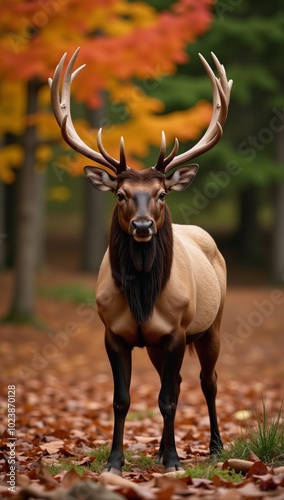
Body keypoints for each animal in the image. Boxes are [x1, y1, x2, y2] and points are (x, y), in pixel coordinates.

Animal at [49, 48, 233, 474]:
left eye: (162, 193)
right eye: (121, 194)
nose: (143, 225)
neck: (142, 299)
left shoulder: (177, 330)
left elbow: (167, 399)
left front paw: (174, 462)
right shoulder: (114, 333)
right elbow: (122, 399)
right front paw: (115, 462)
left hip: (212, 323)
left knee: (208, 380)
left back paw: (214, 447)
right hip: (155, 344)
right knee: (178, 382)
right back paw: (163, 449)